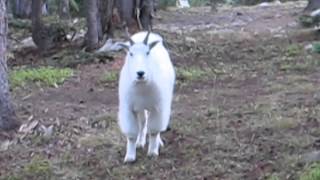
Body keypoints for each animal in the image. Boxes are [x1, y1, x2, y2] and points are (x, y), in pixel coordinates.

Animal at [119, 31, 176, 163]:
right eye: (131, 53)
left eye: (148, 52)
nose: (140, 73)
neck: (142, 88)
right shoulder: (129, 108)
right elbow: (131, 134)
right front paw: (130, 157)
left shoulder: (157, 107)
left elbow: (154, 131)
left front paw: (153, 152)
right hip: (140, 108)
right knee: (143, 122)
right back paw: (140, 143)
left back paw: (158, 143)